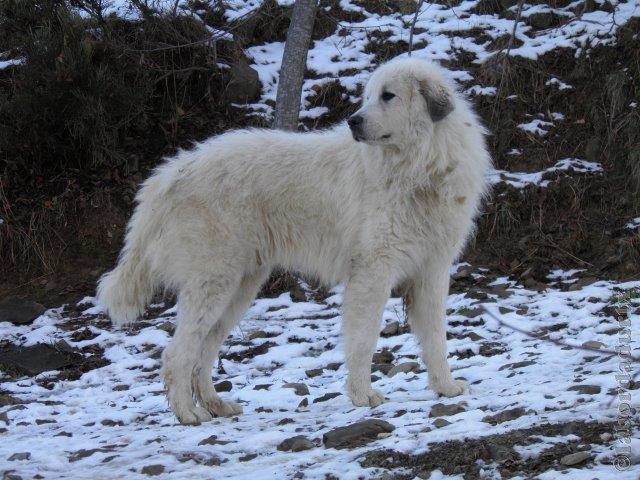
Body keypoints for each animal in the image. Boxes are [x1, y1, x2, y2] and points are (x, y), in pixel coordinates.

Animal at [97, 57, 492, 424]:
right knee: (177, 354)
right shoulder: (372, 272)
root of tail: (171, 172)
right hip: (214, 282)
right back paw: (187, 414)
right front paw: (362, 395)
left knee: (203, 352)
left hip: (238, 287)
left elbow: (436, 338)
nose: (353, 122)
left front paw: (445, 387)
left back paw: (215, 405)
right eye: (369, 97)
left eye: (387, 96)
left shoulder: (432, 271)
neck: (420, 168)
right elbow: (364, 339)